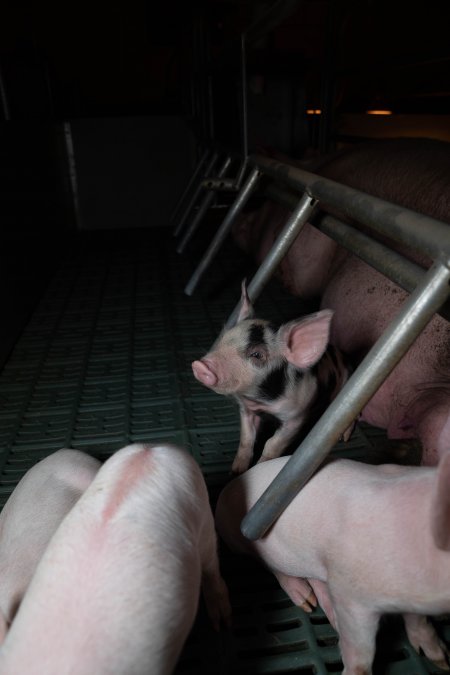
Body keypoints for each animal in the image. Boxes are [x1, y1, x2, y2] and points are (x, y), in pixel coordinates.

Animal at [214, 454, 450, 675]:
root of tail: (227, 490)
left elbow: (419, 620)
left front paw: (441, 660)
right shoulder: (350, 593)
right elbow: (360, 651)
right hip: (246, 542)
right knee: (274, 568)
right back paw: (306, 603)